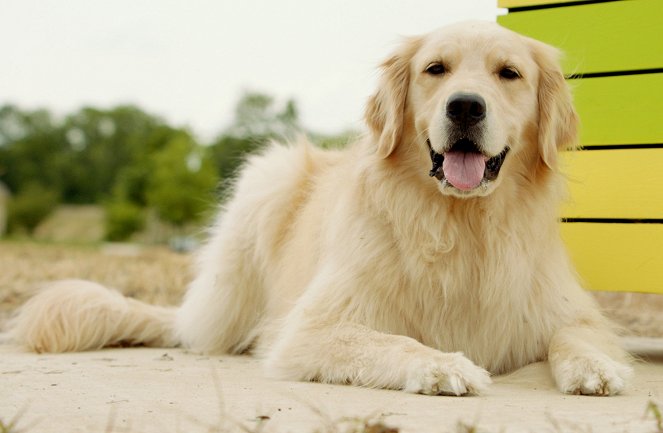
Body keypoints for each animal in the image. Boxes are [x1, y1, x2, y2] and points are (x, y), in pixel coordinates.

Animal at [9, 22, 632, 394]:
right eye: (436, 69)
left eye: (510, 73)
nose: (465, 107)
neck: (459, 224)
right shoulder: (312, 328)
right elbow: (395, 341)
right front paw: (445, 364)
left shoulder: (570, 310)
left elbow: (579, 335)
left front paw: (598, 367)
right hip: (268, 179)